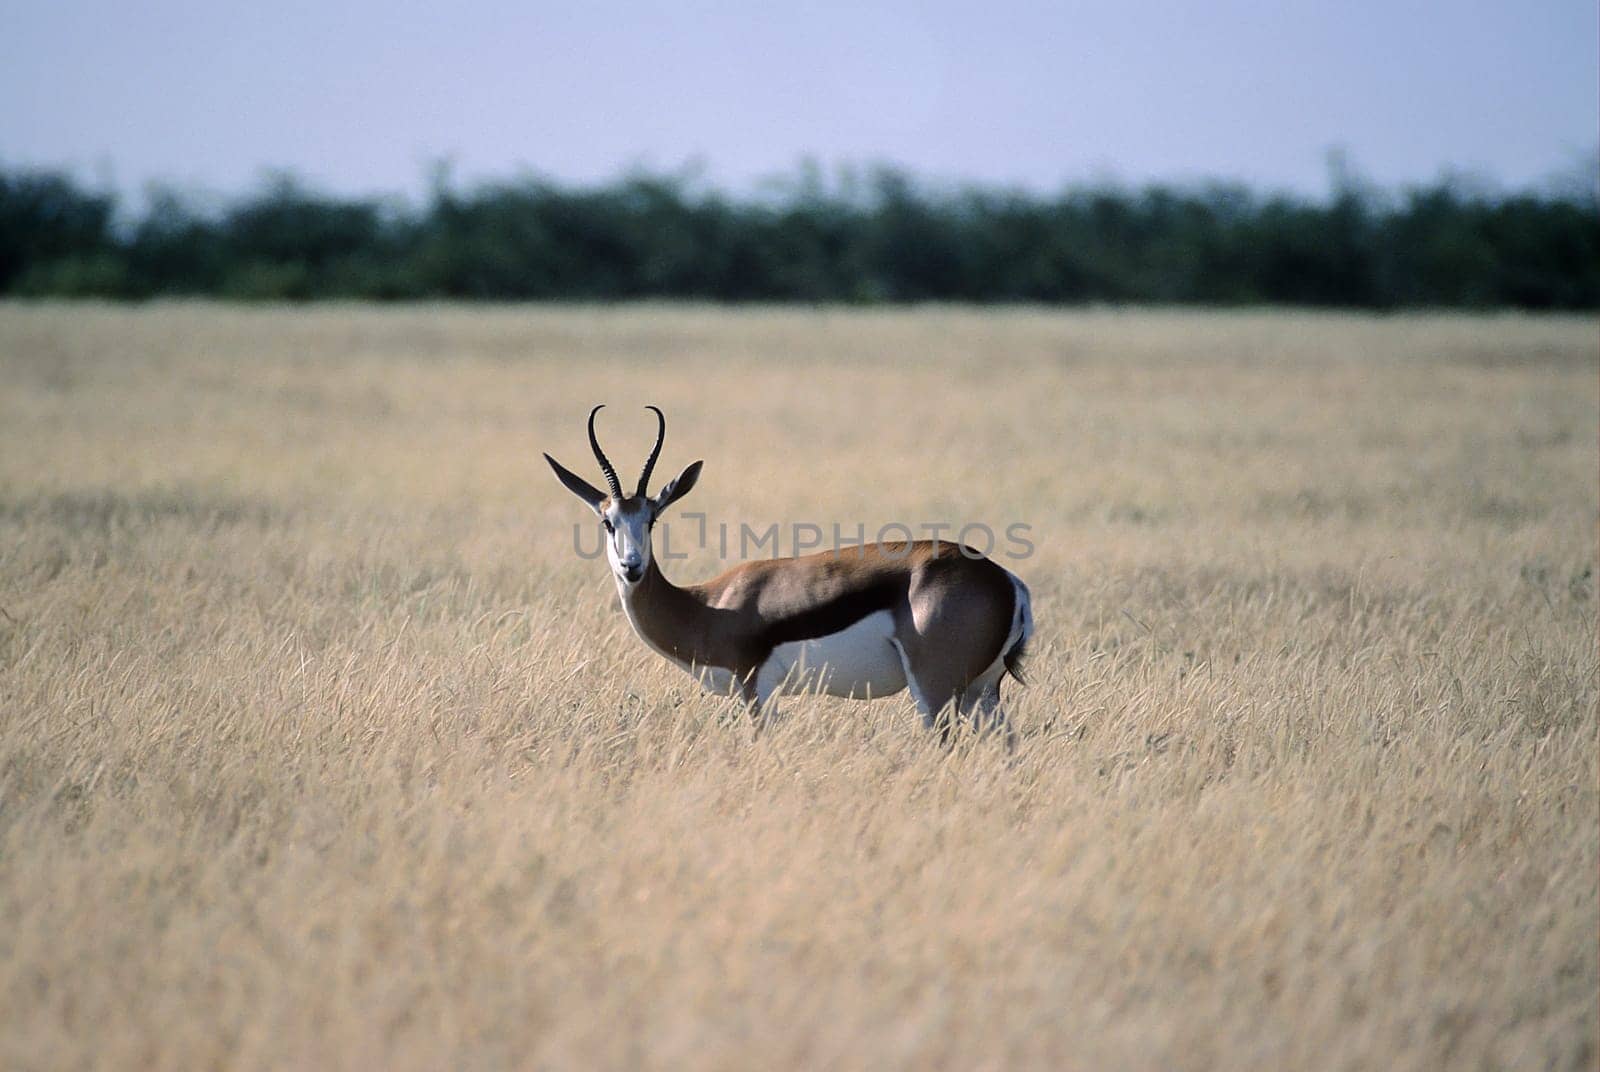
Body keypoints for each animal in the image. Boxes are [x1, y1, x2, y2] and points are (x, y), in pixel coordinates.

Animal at [544, 404, 1030, 739]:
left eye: (651, 520)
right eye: (608, 521)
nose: (632, 567)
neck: (707, 606)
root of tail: (1007, 582)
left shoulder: (754, 690)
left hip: (935, 693)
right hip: (982, 693)